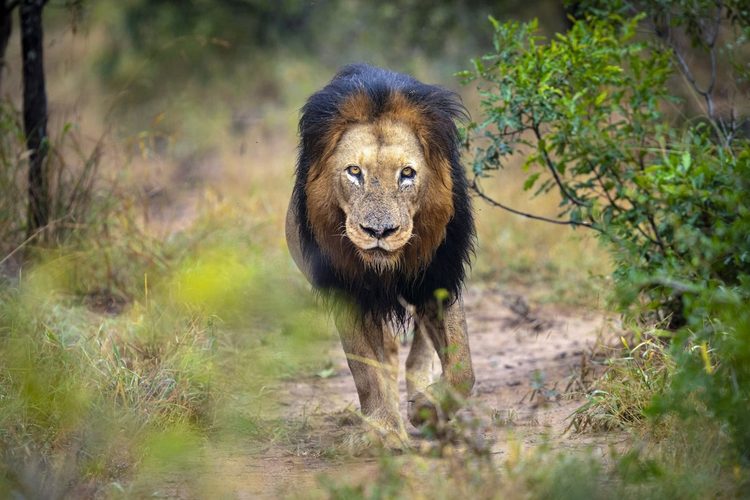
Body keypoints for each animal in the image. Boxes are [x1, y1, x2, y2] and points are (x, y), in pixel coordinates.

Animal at [286, 64, 475, 448]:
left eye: (407, 174)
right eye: (354, 172)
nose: (379, 232)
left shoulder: (441, 278)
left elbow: (462, 368)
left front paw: (429, 407)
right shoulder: (348, 293)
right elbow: (365, 371)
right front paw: (385, 431)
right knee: (385, 354)